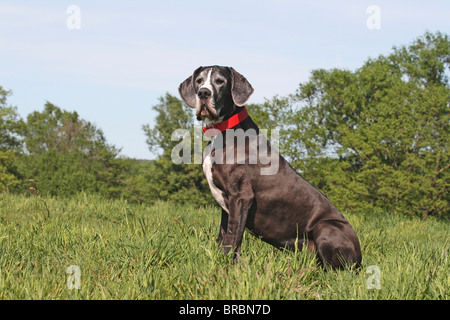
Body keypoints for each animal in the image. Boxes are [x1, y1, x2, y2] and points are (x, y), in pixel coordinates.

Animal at [179, 66, 362, 268]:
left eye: (220, 81)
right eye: (199, 81)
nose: (203, 93)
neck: (222, 132)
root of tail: (360, 256)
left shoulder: (241, 197)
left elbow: (233, 239)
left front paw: (227, 268)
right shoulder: (226, 204)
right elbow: (224, 237)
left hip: (327, 226)